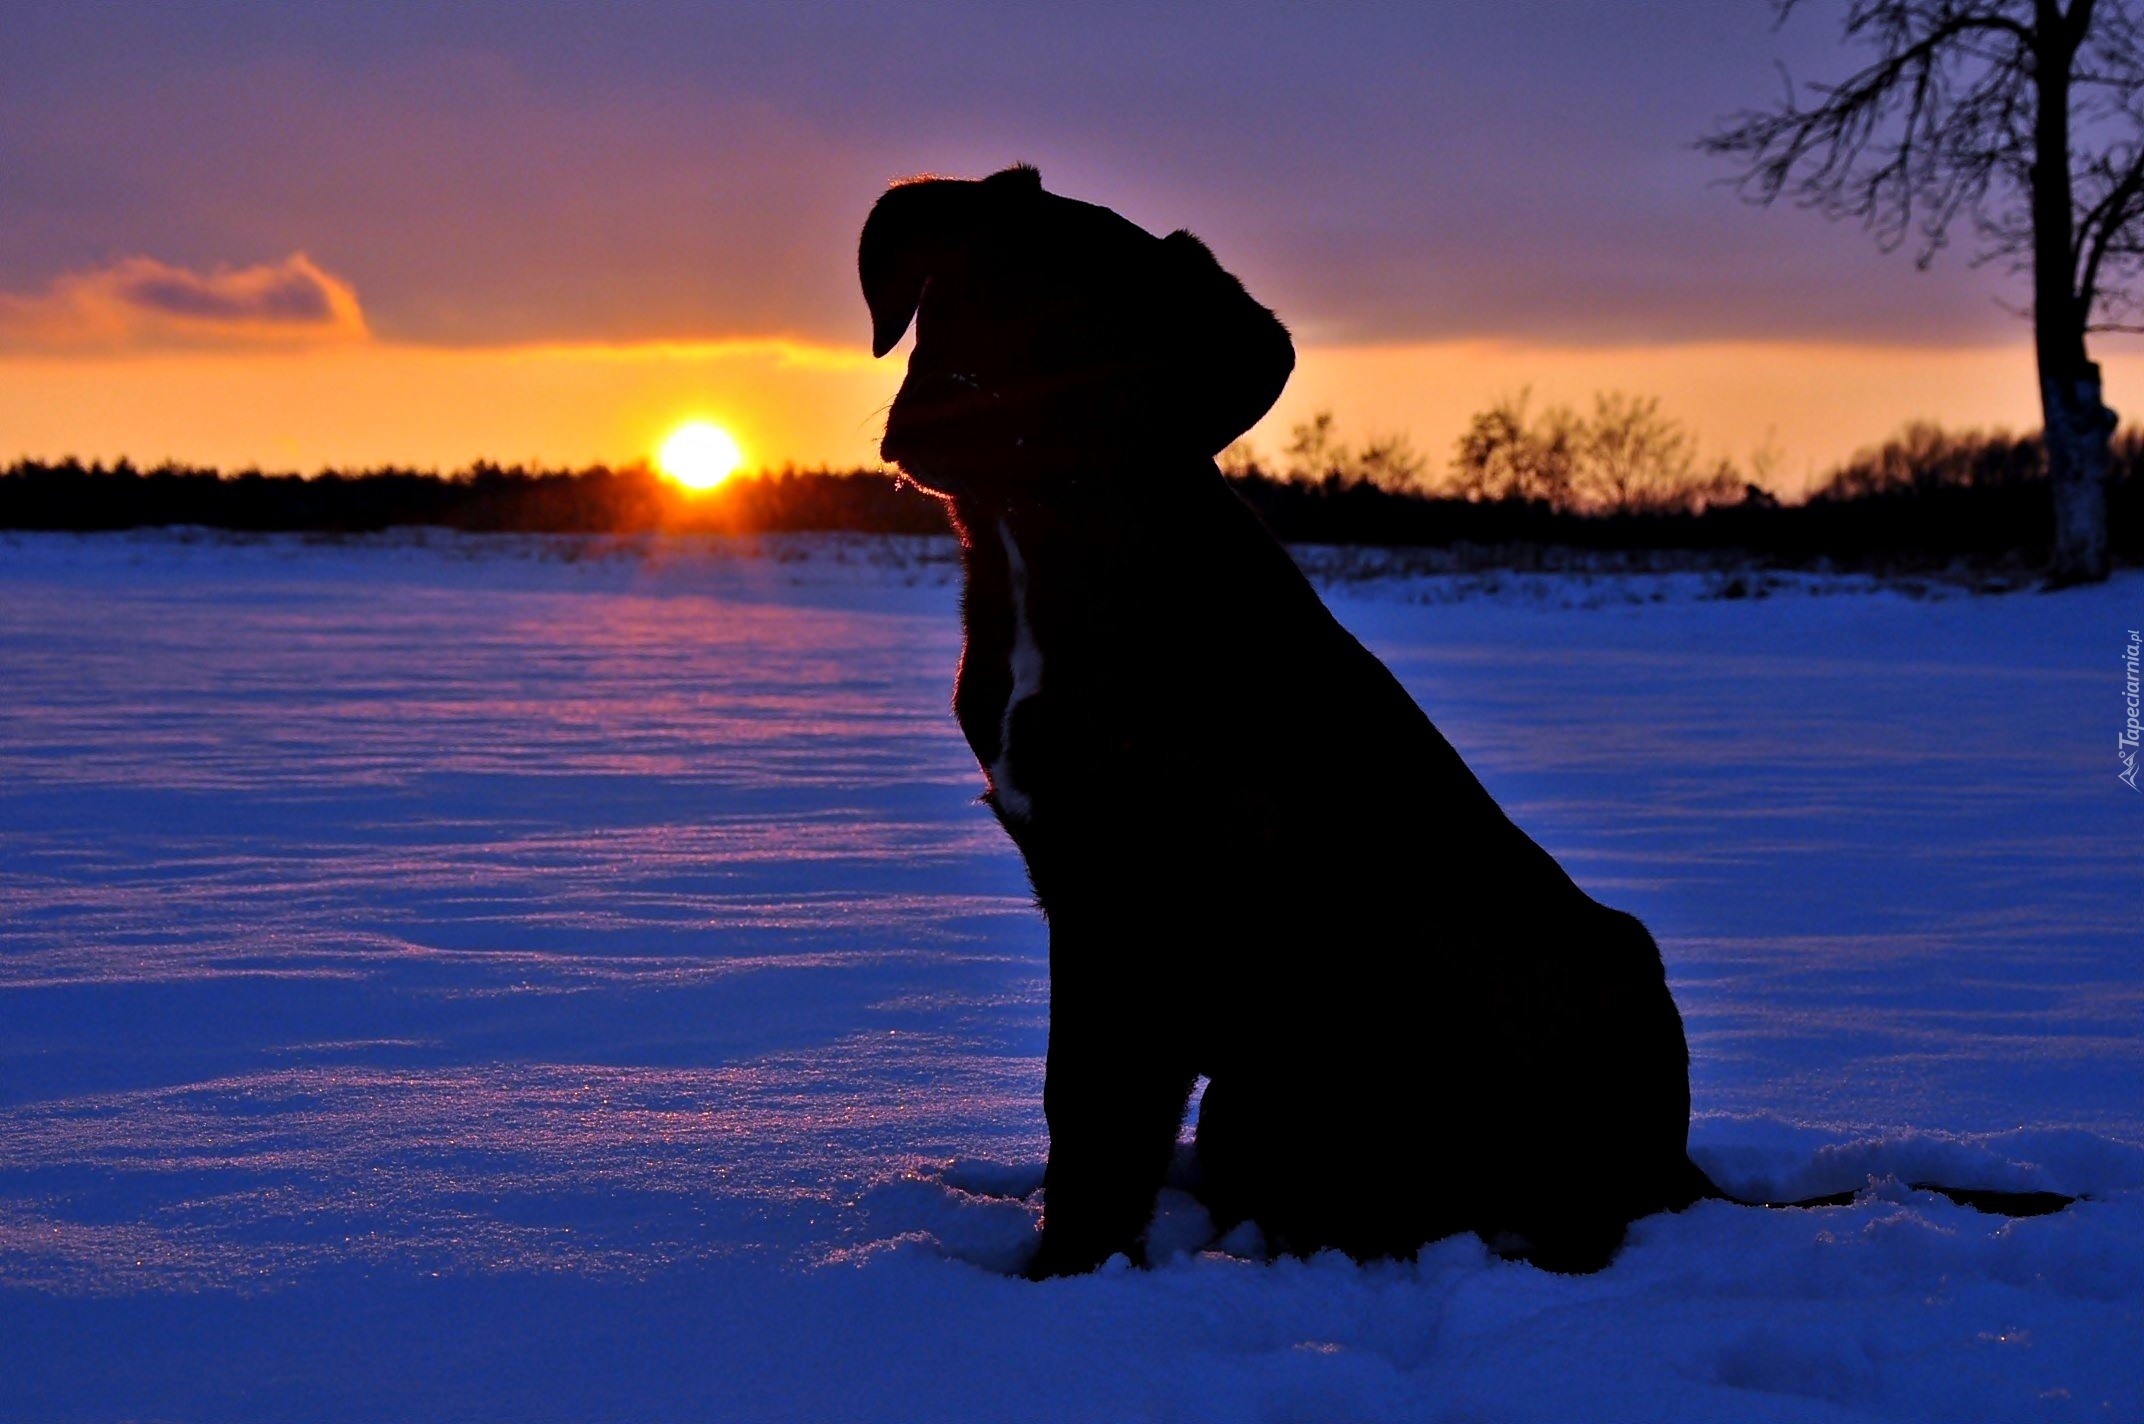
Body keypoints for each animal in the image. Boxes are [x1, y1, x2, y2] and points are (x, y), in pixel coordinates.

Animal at [861, 167, 2066, 1278]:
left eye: (1083, 331)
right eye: (956, 288)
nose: (939, 416)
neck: (1052, 554)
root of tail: (1673, 1167)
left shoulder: (1140, 908)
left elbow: (1099, 1120)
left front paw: (1063, 1276)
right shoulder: (1081, 893)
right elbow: (1077, 1104)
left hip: (1550, 994)